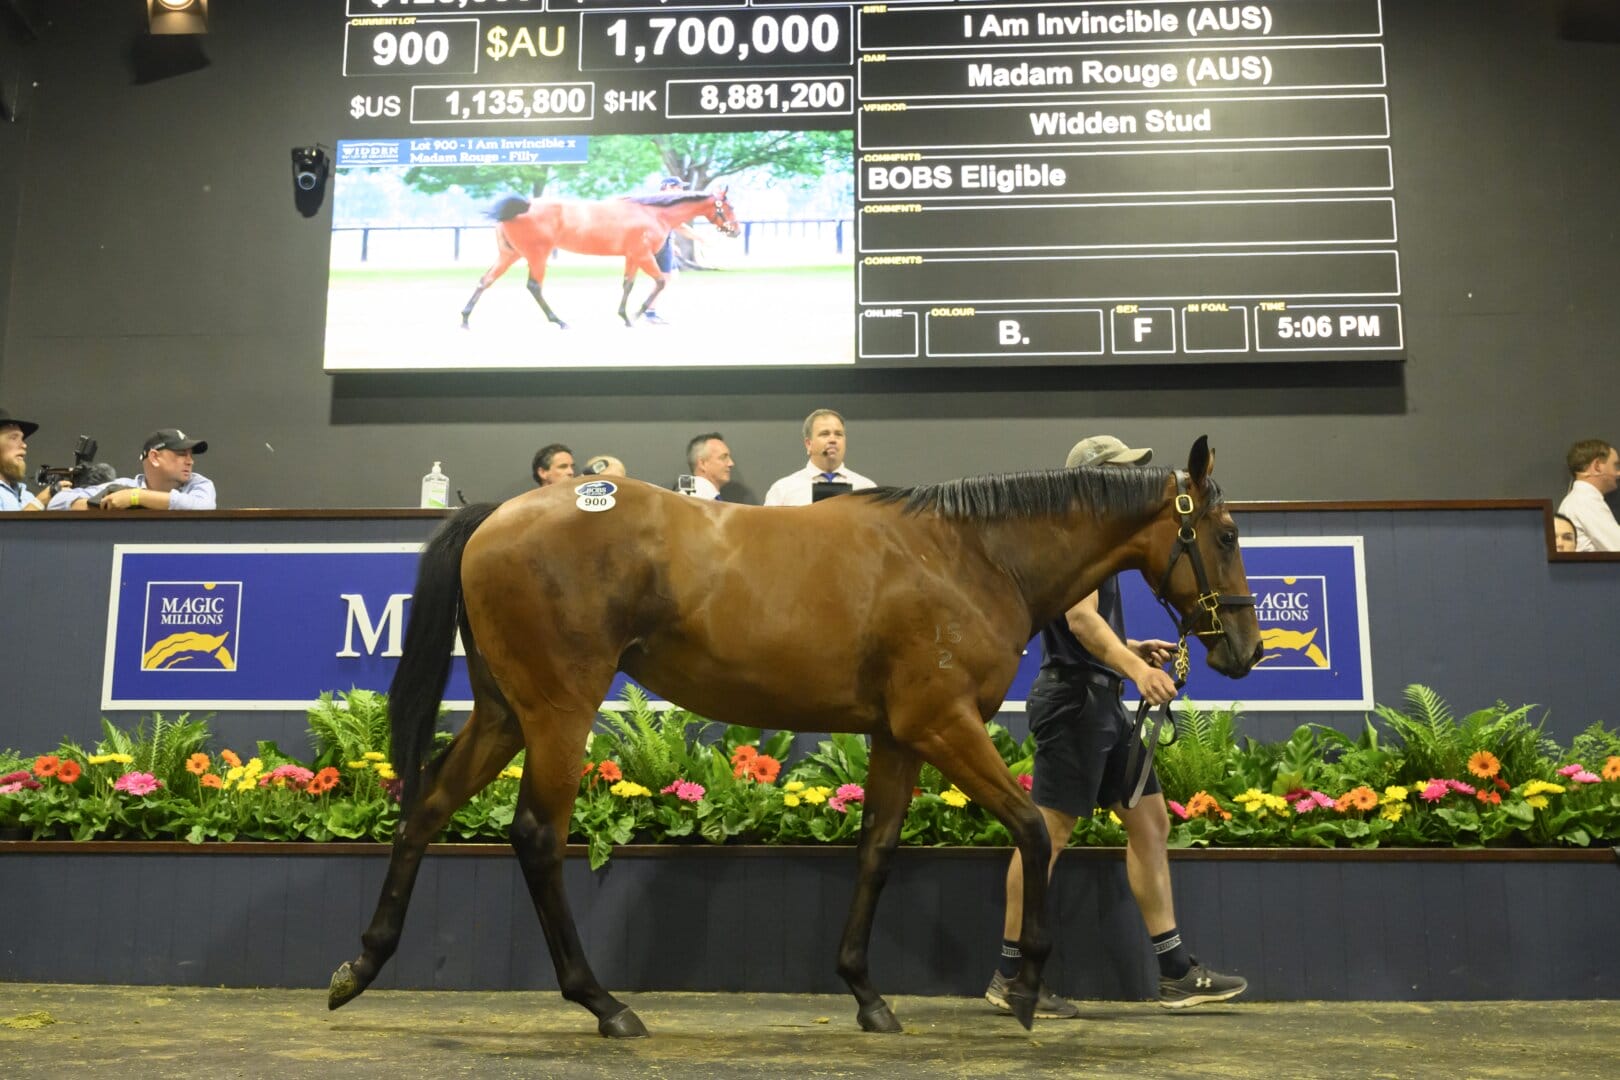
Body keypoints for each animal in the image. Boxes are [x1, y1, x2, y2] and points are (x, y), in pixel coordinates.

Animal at [326, 436, 1262, 1037]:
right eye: (1224, 533)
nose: (1246, 649)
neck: (970, 555)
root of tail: (498, 515)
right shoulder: (944, 723)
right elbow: (1033, 829)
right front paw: (1029, 986)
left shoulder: (898, 737)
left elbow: (877, 850)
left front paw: (867, 995)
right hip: (558, 710)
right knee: (536, 836)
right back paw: (604, 1004)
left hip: (504, 713)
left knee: (426, 808)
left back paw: (360, 969)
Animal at [459, 188, 740, 330]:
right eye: (728, 207)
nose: (736, 231)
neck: (651, 213)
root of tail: (521, 207)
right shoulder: (643, 255)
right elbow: (659, 282)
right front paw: (636, 315)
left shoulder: (633, 257)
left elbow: (628, 285)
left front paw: (625, 317)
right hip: (537, 255)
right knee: (534, 287)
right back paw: (559, 321)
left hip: (510, 254)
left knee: (485, 280)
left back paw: (465, 320)